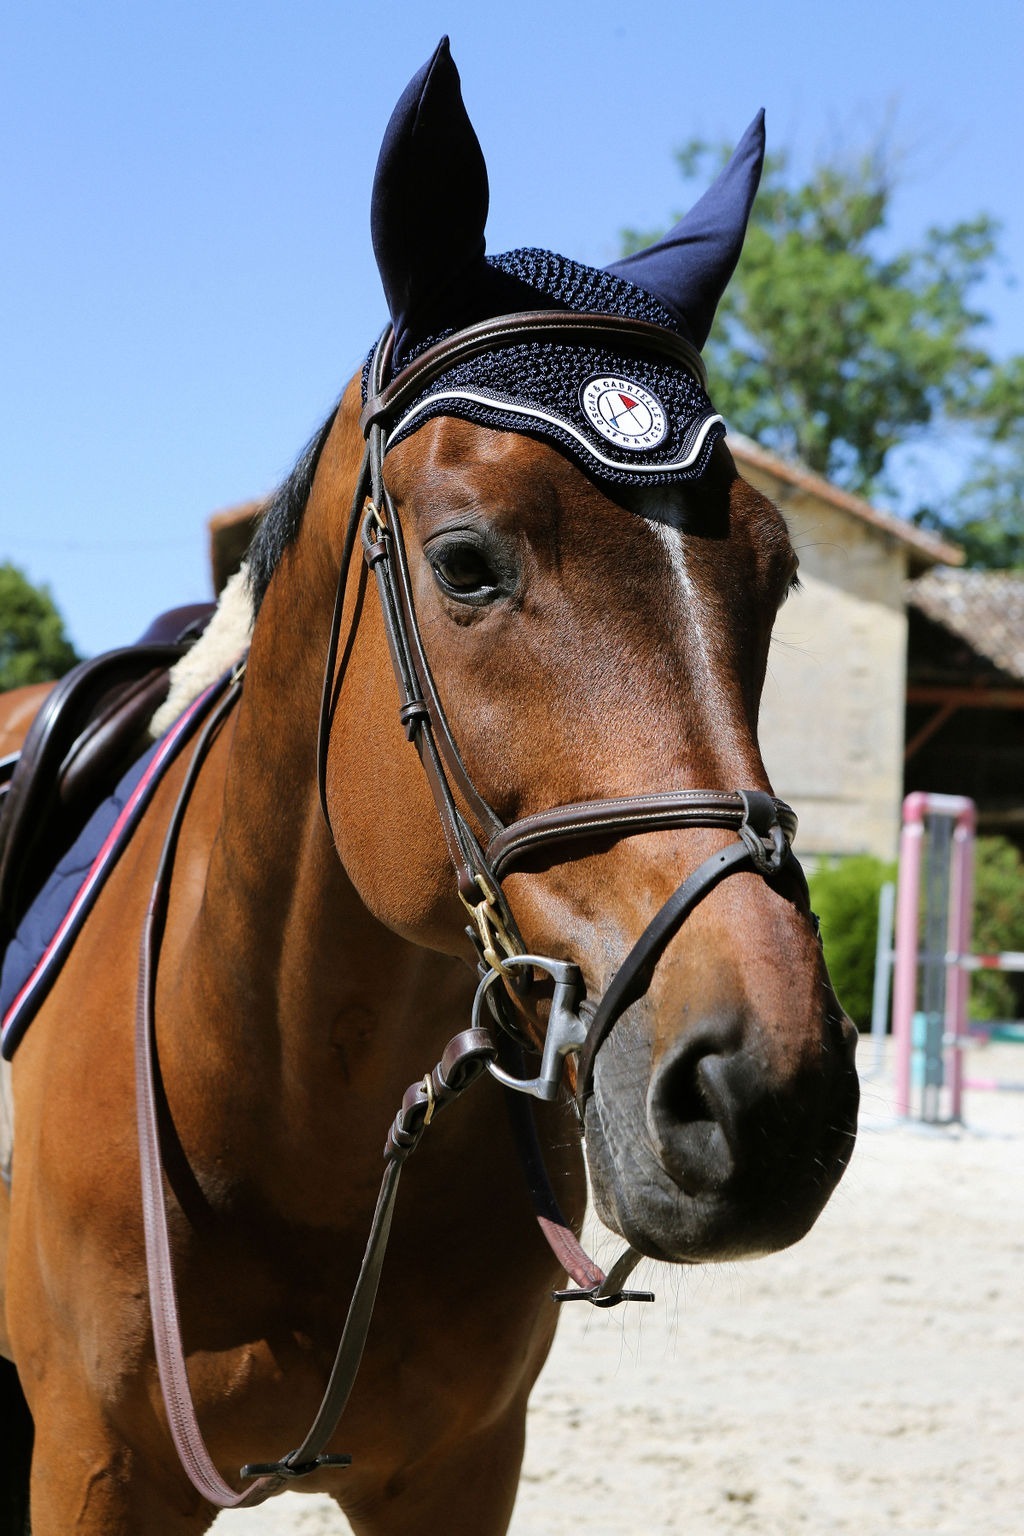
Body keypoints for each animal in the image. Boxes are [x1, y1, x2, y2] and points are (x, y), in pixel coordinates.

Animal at [0, 38, 858, 1535]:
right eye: (465, 561)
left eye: (774, 574)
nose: (771, 1092)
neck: (293, 1110)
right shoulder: (94, 1471)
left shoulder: (460, 1470)